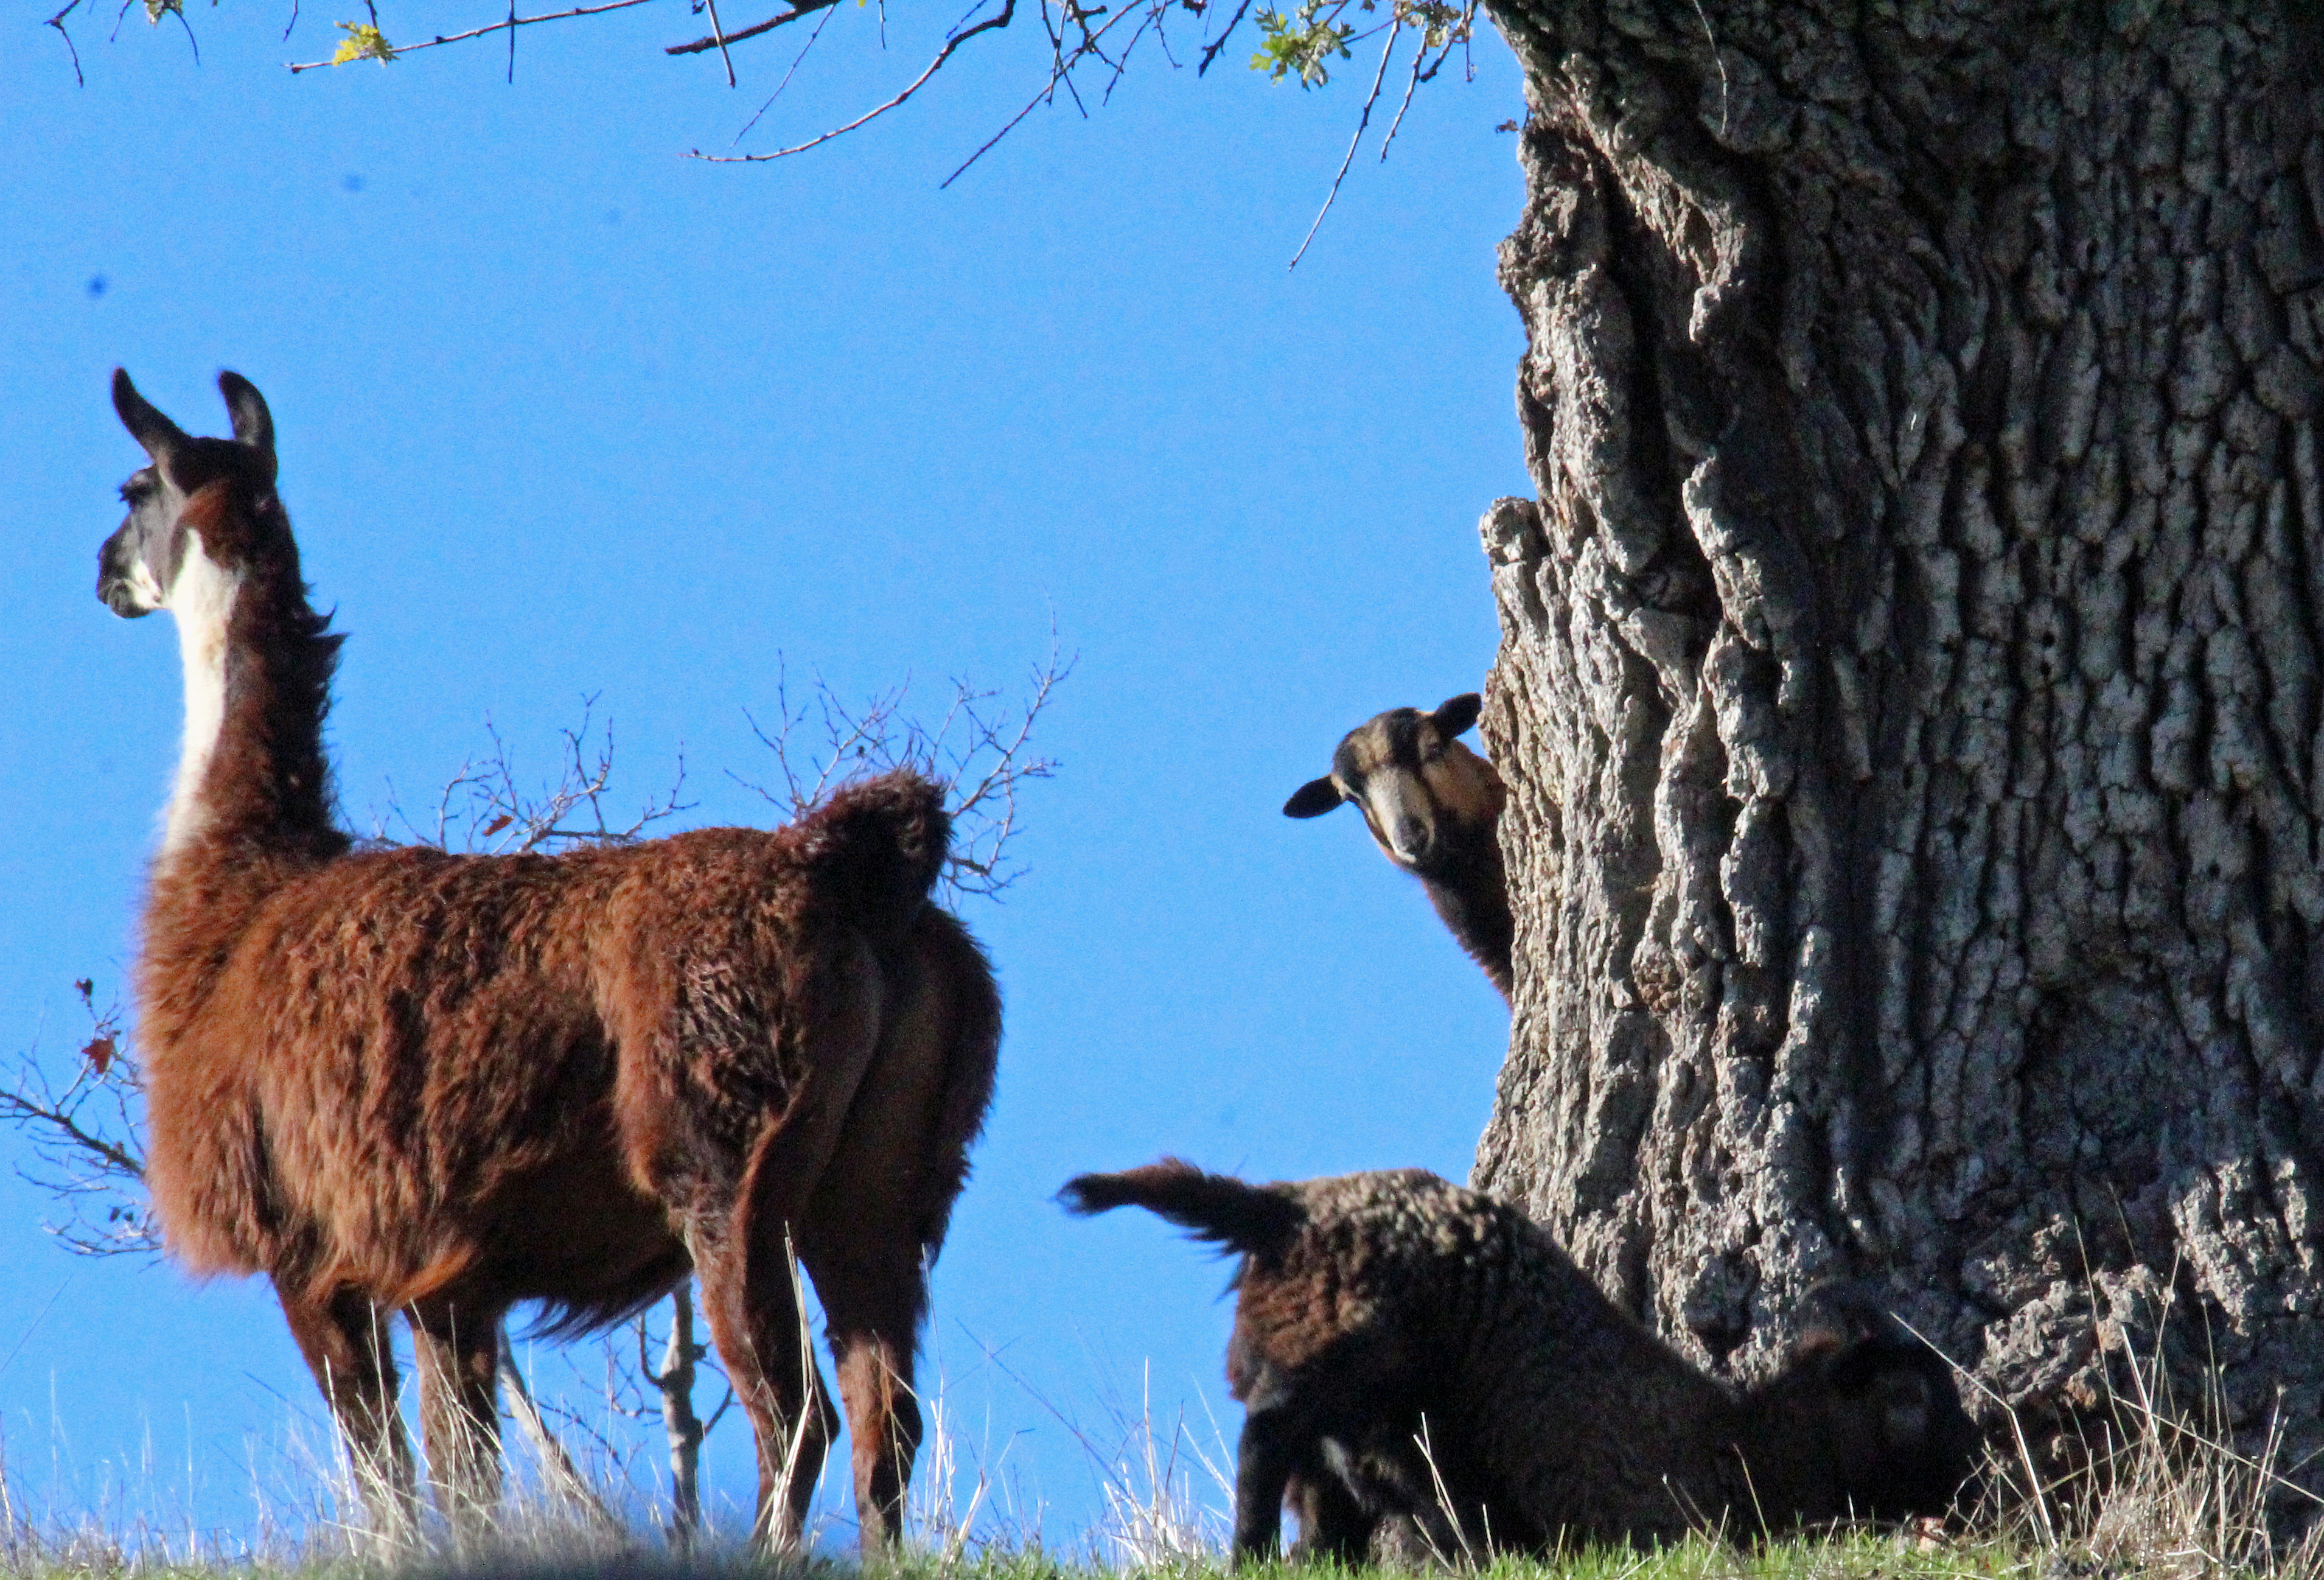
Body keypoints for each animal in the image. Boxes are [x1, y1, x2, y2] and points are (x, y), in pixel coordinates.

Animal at [96, 369, 1002, 1552]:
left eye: (131, 488)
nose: (104, 573)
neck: (237, 902)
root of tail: (855, 880)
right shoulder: (450, 1275)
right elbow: (463, 1471)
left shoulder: (311, 1243)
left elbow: (383, 1467)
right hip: (885, 1178)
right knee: (884, 1408)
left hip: (726, 1155)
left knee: (794, 1405)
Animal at [1061, 1160, 1978, 1562]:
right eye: (1909, 1396)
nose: (1973, 1478)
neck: (1745, 1448)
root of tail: (1286, 1209)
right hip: (1353, 1343)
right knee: (1270, 1434)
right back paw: (1251, 1554)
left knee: (1316, 1475)